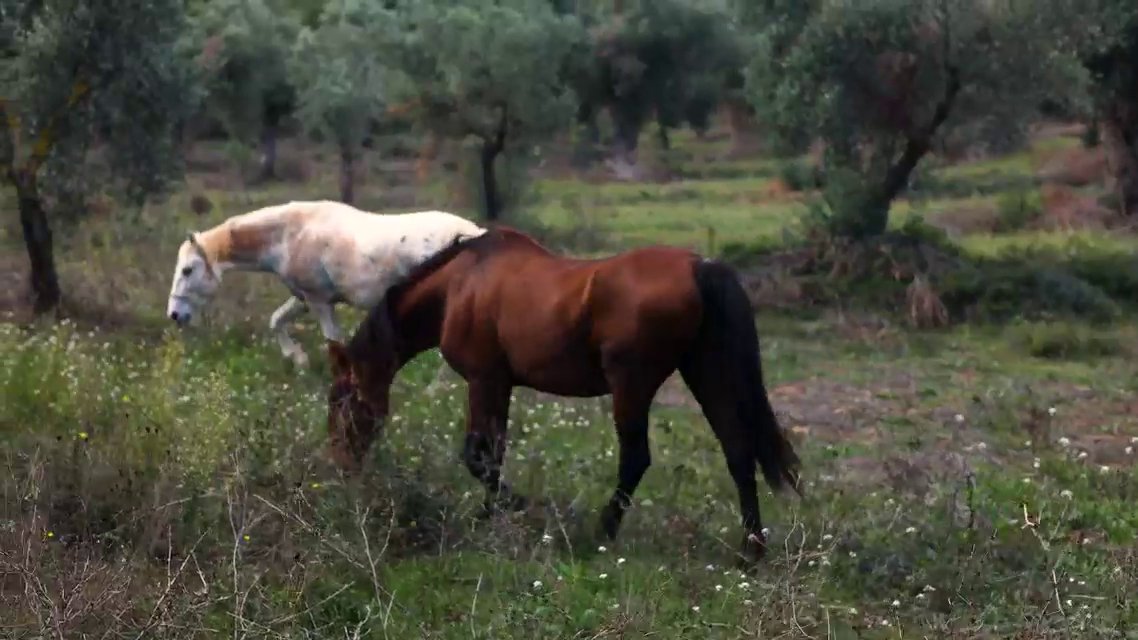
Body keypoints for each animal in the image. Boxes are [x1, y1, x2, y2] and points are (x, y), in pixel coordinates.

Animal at [165, 200, 486, 367]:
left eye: (188, 270)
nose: (175, 315)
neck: (289, 236)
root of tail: (473, 234)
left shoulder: (319, 301)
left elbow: (334, 344)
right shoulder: (304, 299)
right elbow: (276, 320)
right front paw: (298, 358)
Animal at [323, 226, 802, 565]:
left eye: (340, 399)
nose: (342, 465)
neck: (458, 285)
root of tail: (701, 267)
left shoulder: (484, 380)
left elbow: (478, 457)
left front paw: (520, 508)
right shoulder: (500, 385)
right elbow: (493, 454)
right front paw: (492, 515)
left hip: (632, 384)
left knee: (636, 458)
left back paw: (601, 533)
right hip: (706, 372)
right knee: (738, 451)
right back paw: (751, 550)